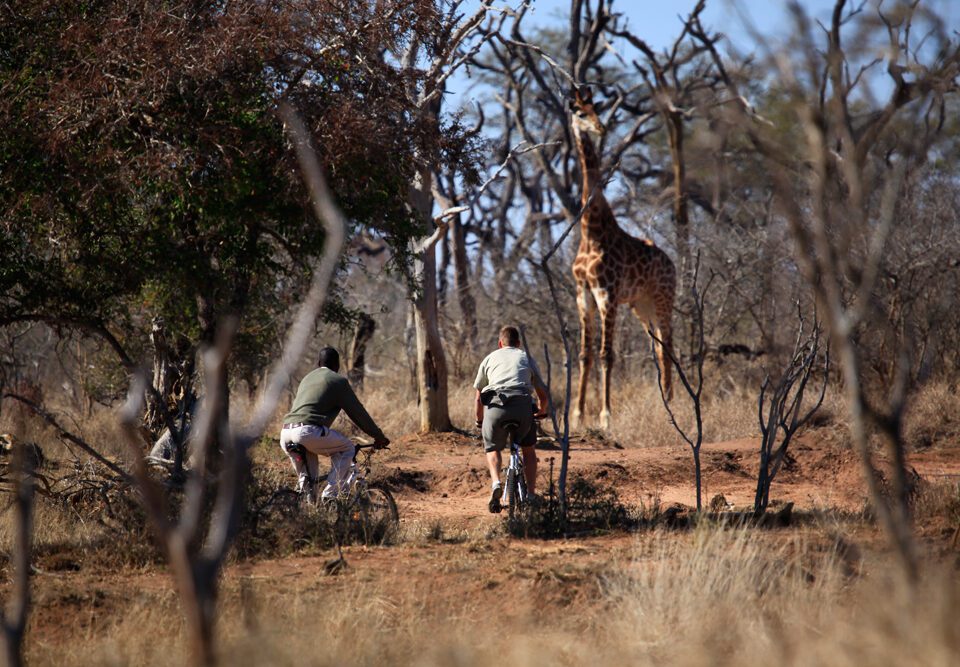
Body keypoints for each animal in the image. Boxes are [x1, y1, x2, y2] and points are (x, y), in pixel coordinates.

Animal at [568, 86, 676, 430]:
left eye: (596, 109)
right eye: (579, 111)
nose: (600, 128)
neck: (591, 232)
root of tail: (672, 263)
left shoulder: (608, 294)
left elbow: (607, 354)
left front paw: (605, 416)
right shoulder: (583, 294)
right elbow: (584, 355)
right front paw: (577, 415)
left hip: (662, 298)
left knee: (668, 345)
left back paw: (672, 404)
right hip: (642, 305)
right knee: (658, 347)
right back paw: (664, 400)